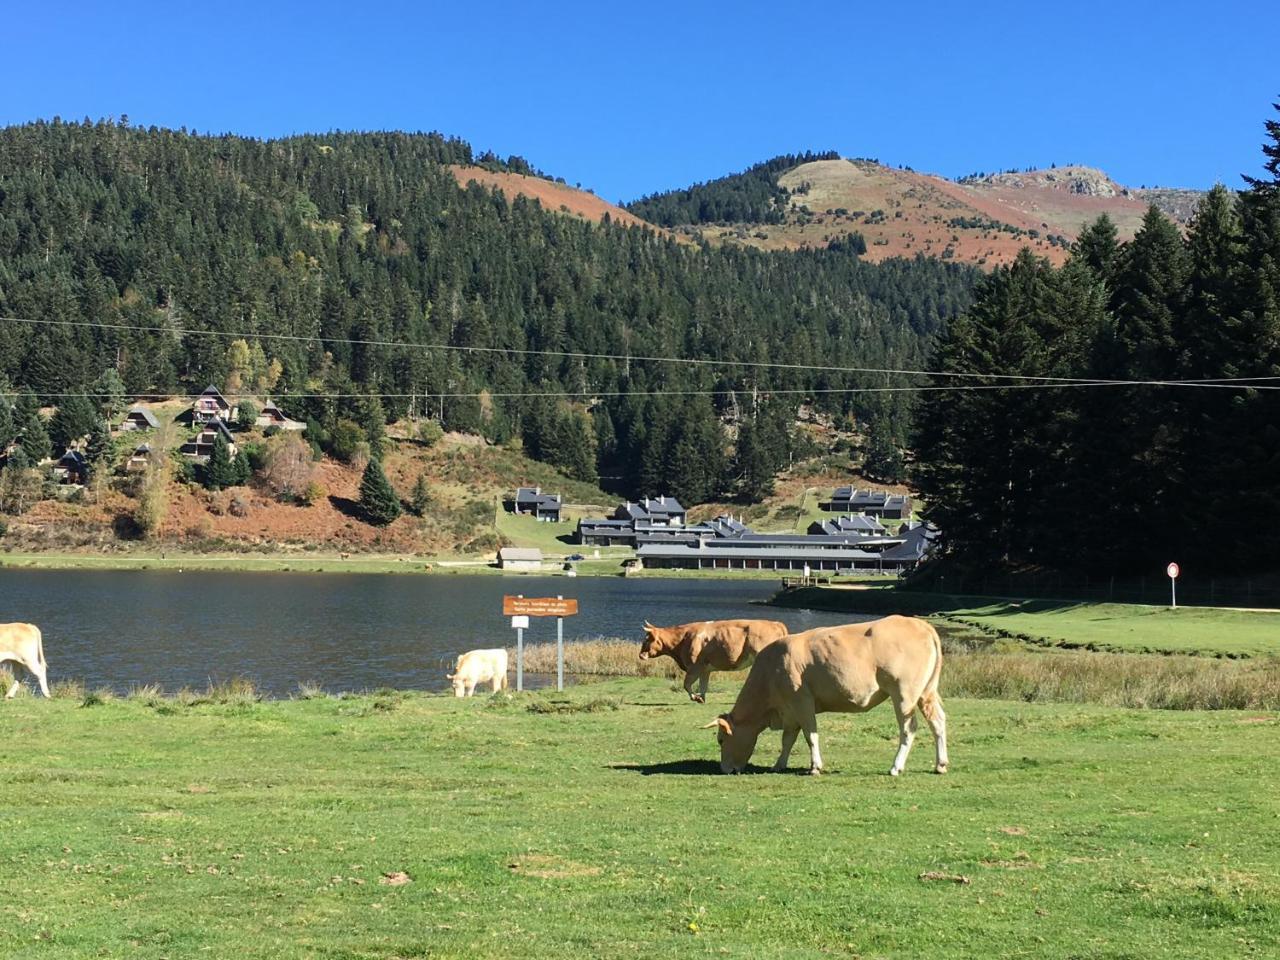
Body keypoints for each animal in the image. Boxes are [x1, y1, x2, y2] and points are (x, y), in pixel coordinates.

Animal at [640, 619, 788, 701]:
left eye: (646, 639)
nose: (641, 655)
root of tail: (775, 623)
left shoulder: (694, 666)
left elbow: (686, 684)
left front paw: (695, 697)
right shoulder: (705, 669)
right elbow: (703, 684)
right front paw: (701, 698)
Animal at [706, 619, 947, 778]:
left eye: (721, 740)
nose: (725, 770)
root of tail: (921, 624)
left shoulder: (802, 701)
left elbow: (810, 736)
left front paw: (815, 767)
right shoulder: (789, 711)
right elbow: (787, 739)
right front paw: (779, 764)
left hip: (904, 694)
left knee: (908, 728)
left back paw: (896, 767)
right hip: (927, 692)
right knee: (938, 722)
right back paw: (940, 764)